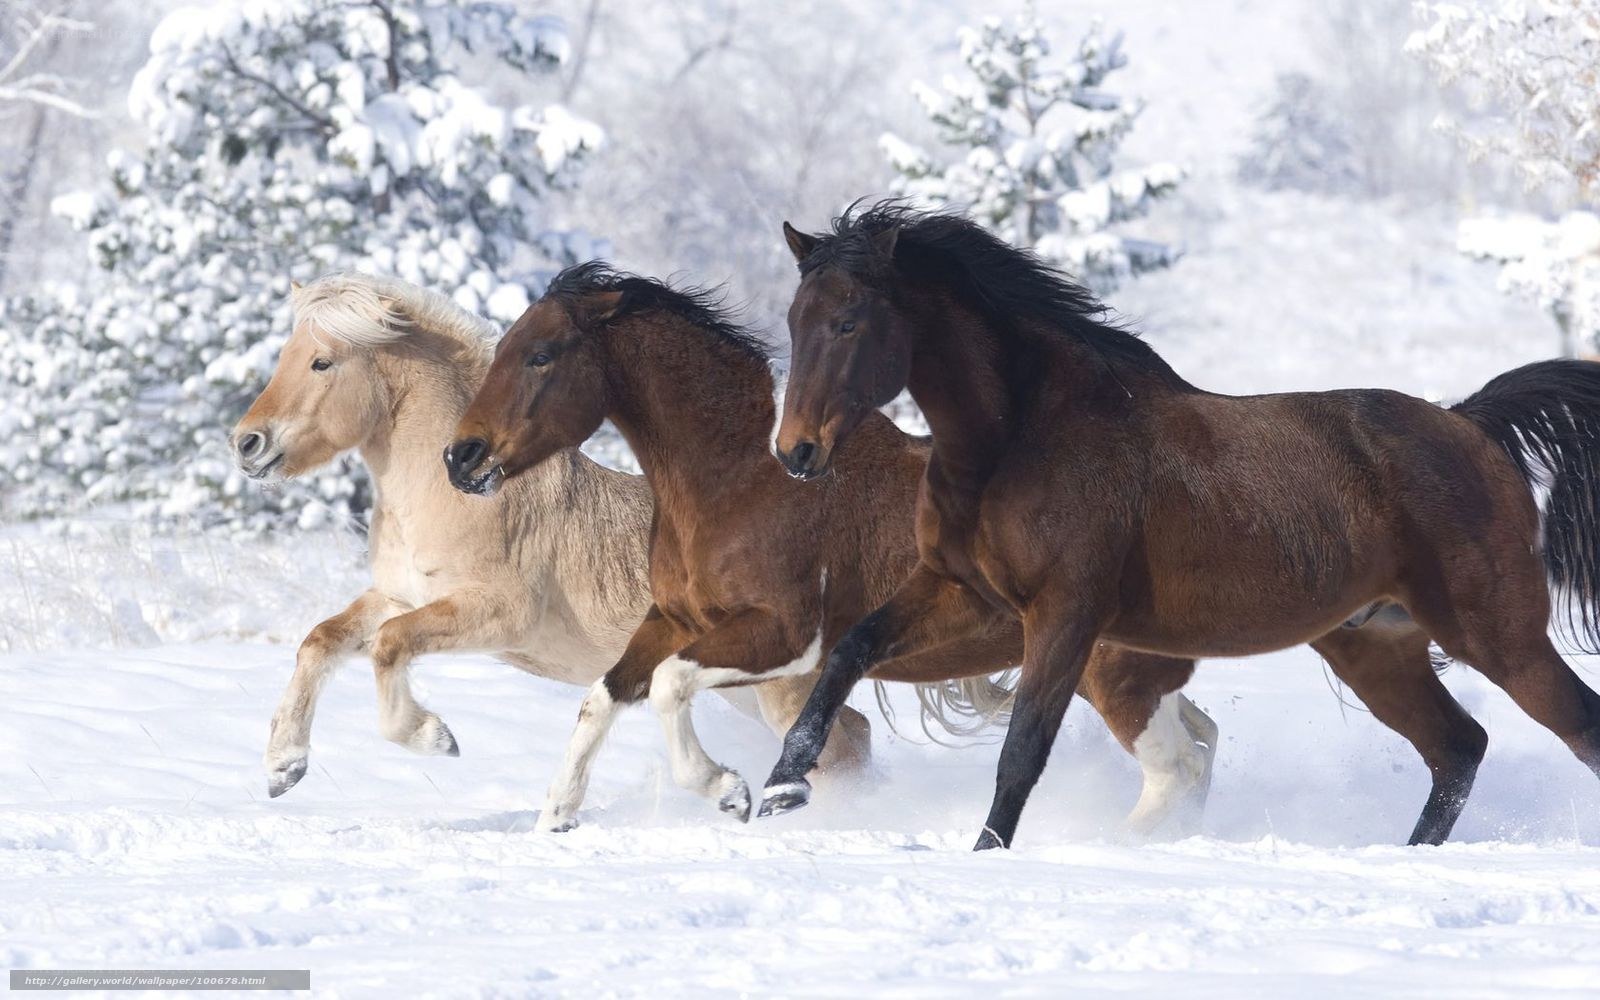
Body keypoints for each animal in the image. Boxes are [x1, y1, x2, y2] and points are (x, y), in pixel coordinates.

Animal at [229, 271, 876, 798]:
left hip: (777, 687)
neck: (454, 495)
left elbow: (389, 645)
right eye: (287, 355)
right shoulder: (400, 595)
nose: (246, 444)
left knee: (840, 746)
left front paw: (435, 738)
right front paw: (283, 767)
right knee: (854, 734)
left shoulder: (497, 612)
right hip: (742, 686)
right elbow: (321, 640)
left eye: (322, 362)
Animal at [445, 261, 1220, 835]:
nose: (460, 457)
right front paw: (556, 816)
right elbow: (602, 697)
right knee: (1200, 744)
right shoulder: (672, 619)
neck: (738, 478)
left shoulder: (785, 635)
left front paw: (730, 791)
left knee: (1176, 767)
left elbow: (668, 686)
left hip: (1110, 674)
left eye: (541, 356)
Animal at [762, 202, 1600, 850]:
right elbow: (848, 653)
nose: (795, 452)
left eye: (847, 321)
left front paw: (984, 856)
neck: (1020, 435)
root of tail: (1471, 425)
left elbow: (1022, 750)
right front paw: (780, 790)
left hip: (1497, 634)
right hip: (1376, 646)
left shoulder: (1066, 614)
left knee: (1572, 728)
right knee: (1458, 749)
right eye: (795, 320)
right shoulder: (960, 591)